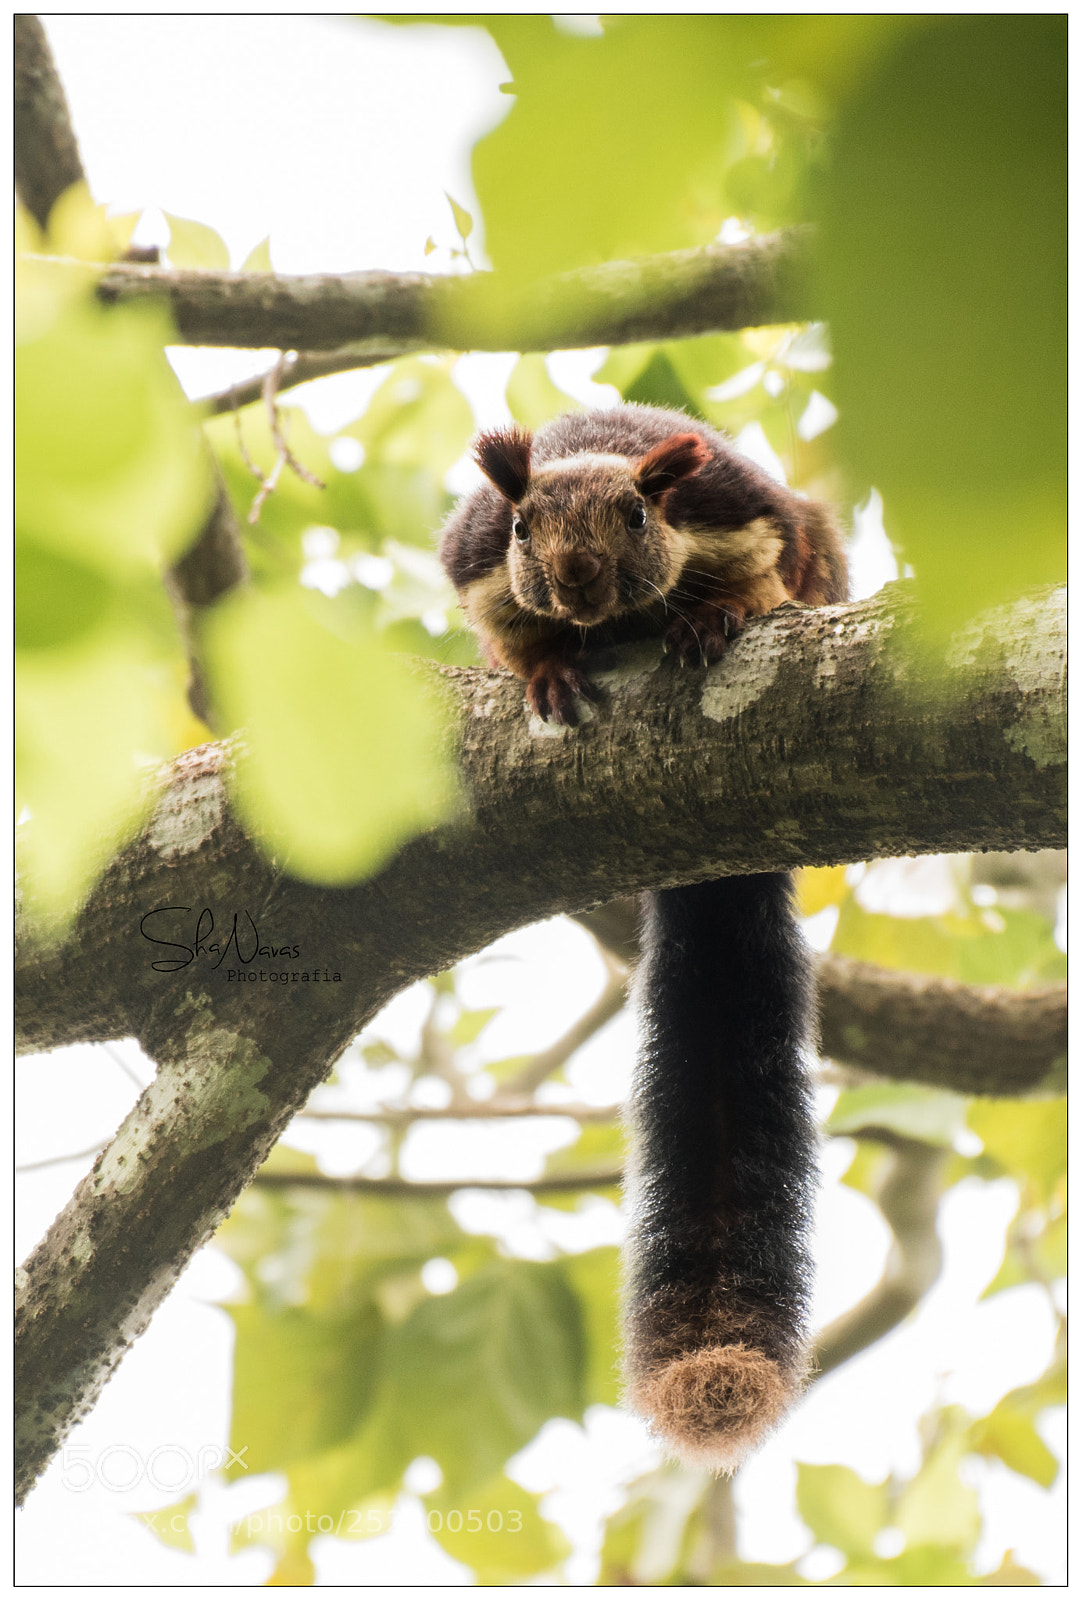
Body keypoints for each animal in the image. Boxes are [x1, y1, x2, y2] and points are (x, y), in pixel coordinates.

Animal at [439, 402, 849, 1470]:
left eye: (634, 515)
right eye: (522, 529)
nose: (577, 575)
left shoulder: (740, 512)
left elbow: (766, 575)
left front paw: (715, 616)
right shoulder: (475, 566)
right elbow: (506, 633)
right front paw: (544, 668)